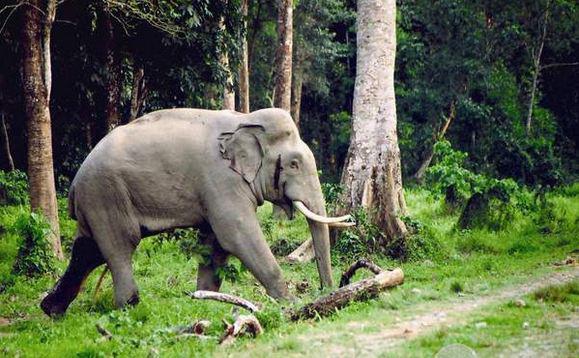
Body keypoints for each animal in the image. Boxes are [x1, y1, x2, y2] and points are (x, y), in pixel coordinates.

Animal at [39, 107, 354, 316]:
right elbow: (236, 234)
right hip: (106, 195)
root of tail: (76, 182)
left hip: (96, 201)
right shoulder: (220, 179)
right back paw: (130, 307)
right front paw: (290, 304)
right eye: (294, 164)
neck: (244, 120)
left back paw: (51, 310)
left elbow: (215, 243)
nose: (325, 291)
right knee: (119, 246)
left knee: (87, 250)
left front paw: (207, 300)